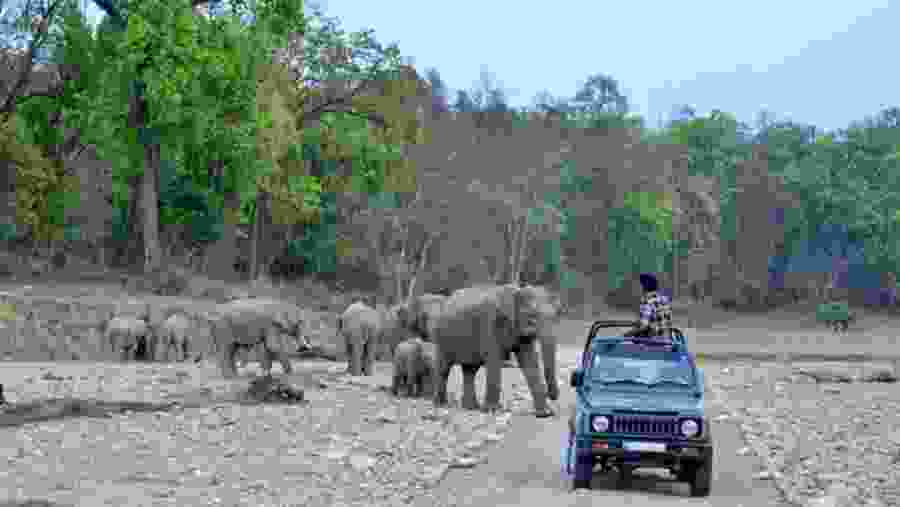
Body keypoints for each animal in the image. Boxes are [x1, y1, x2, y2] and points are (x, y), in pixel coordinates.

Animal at [430, 284, 559, 418]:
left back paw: (471, 407)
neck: (516, 291)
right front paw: (492, 410)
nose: (552, 396)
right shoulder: (489, 325)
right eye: (531, 316)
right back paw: (441, 404)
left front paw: (545, 413)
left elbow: (529, 362)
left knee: (470, 370)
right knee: (444, 369)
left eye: (556, 316)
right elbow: (494, 361)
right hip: (441, 337)